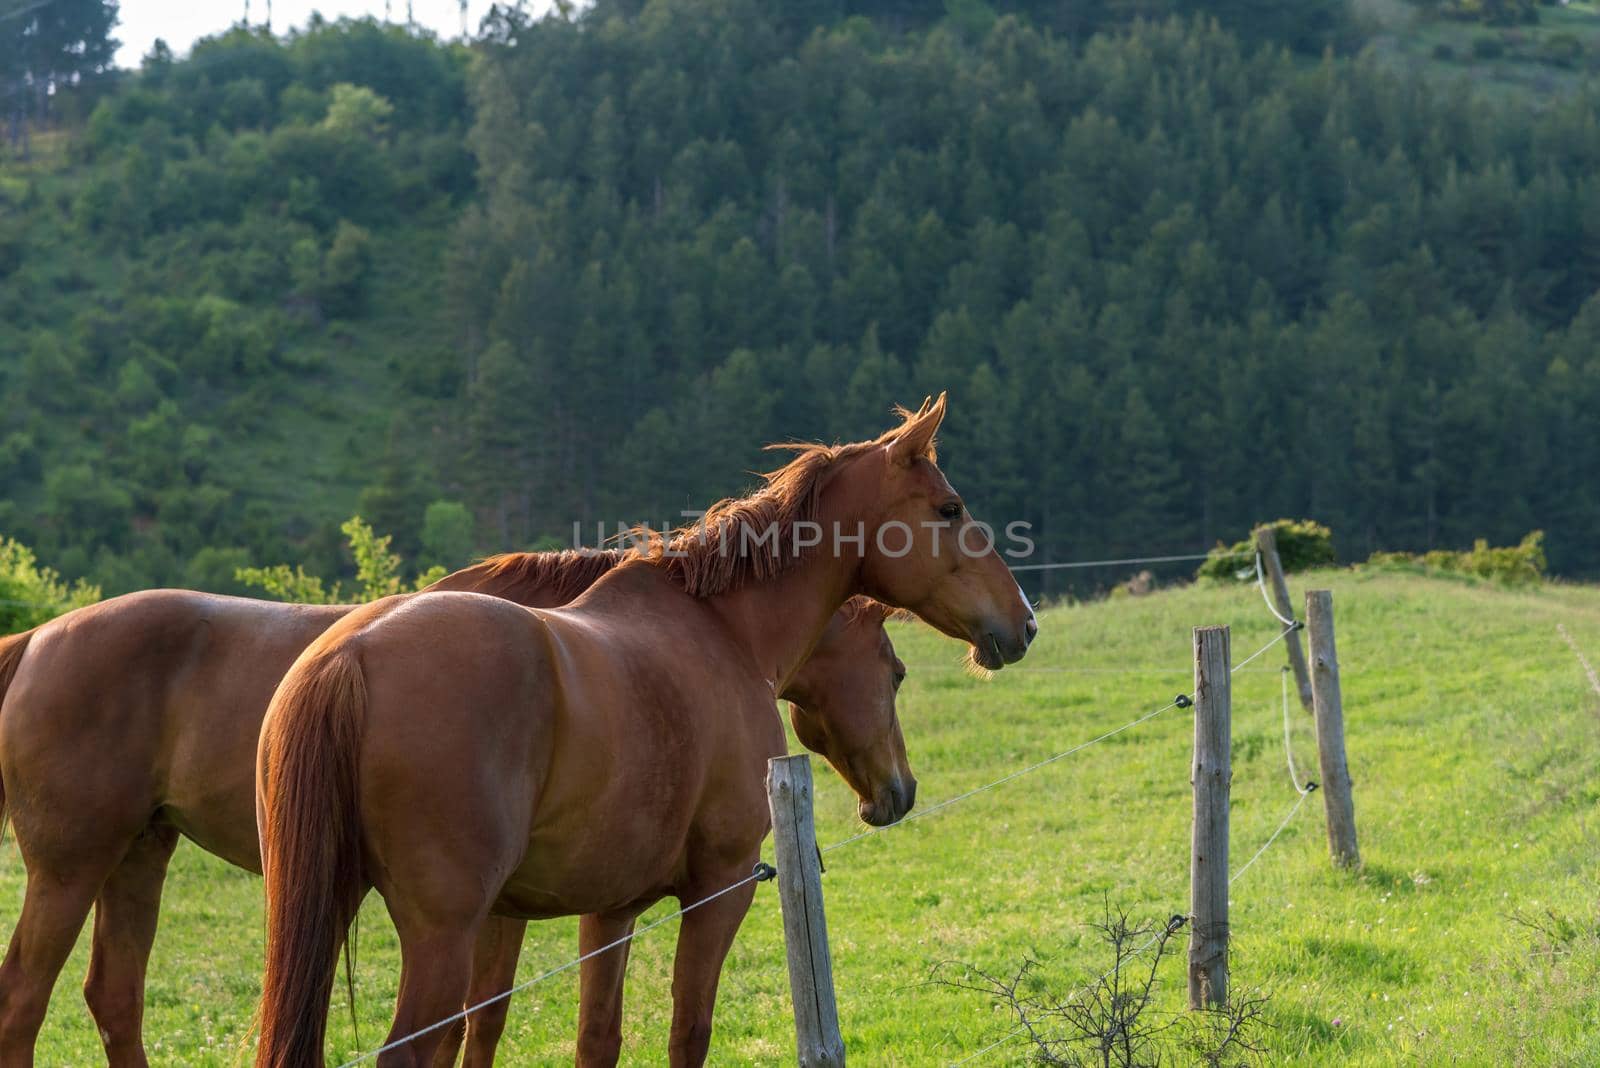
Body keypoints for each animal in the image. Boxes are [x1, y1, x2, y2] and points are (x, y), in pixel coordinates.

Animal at [0, 556, 915, 1061]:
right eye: (898, 668)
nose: (897, 794)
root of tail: (38, 640)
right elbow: (479, 1024)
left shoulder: (500, 910)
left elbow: (483, 1024)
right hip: (70, 869)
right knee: (24, 1002)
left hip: (138, 856)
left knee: (113, 1002)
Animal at [254, 398, 1030, 1068]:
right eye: (950, 510)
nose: (1022, 622)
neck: (724, 631)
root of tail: (350, 654)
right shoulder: (720, 888)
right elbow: (689, 1031)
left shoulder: (610, 910)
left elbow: (597, 1040)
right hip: (445, 933)